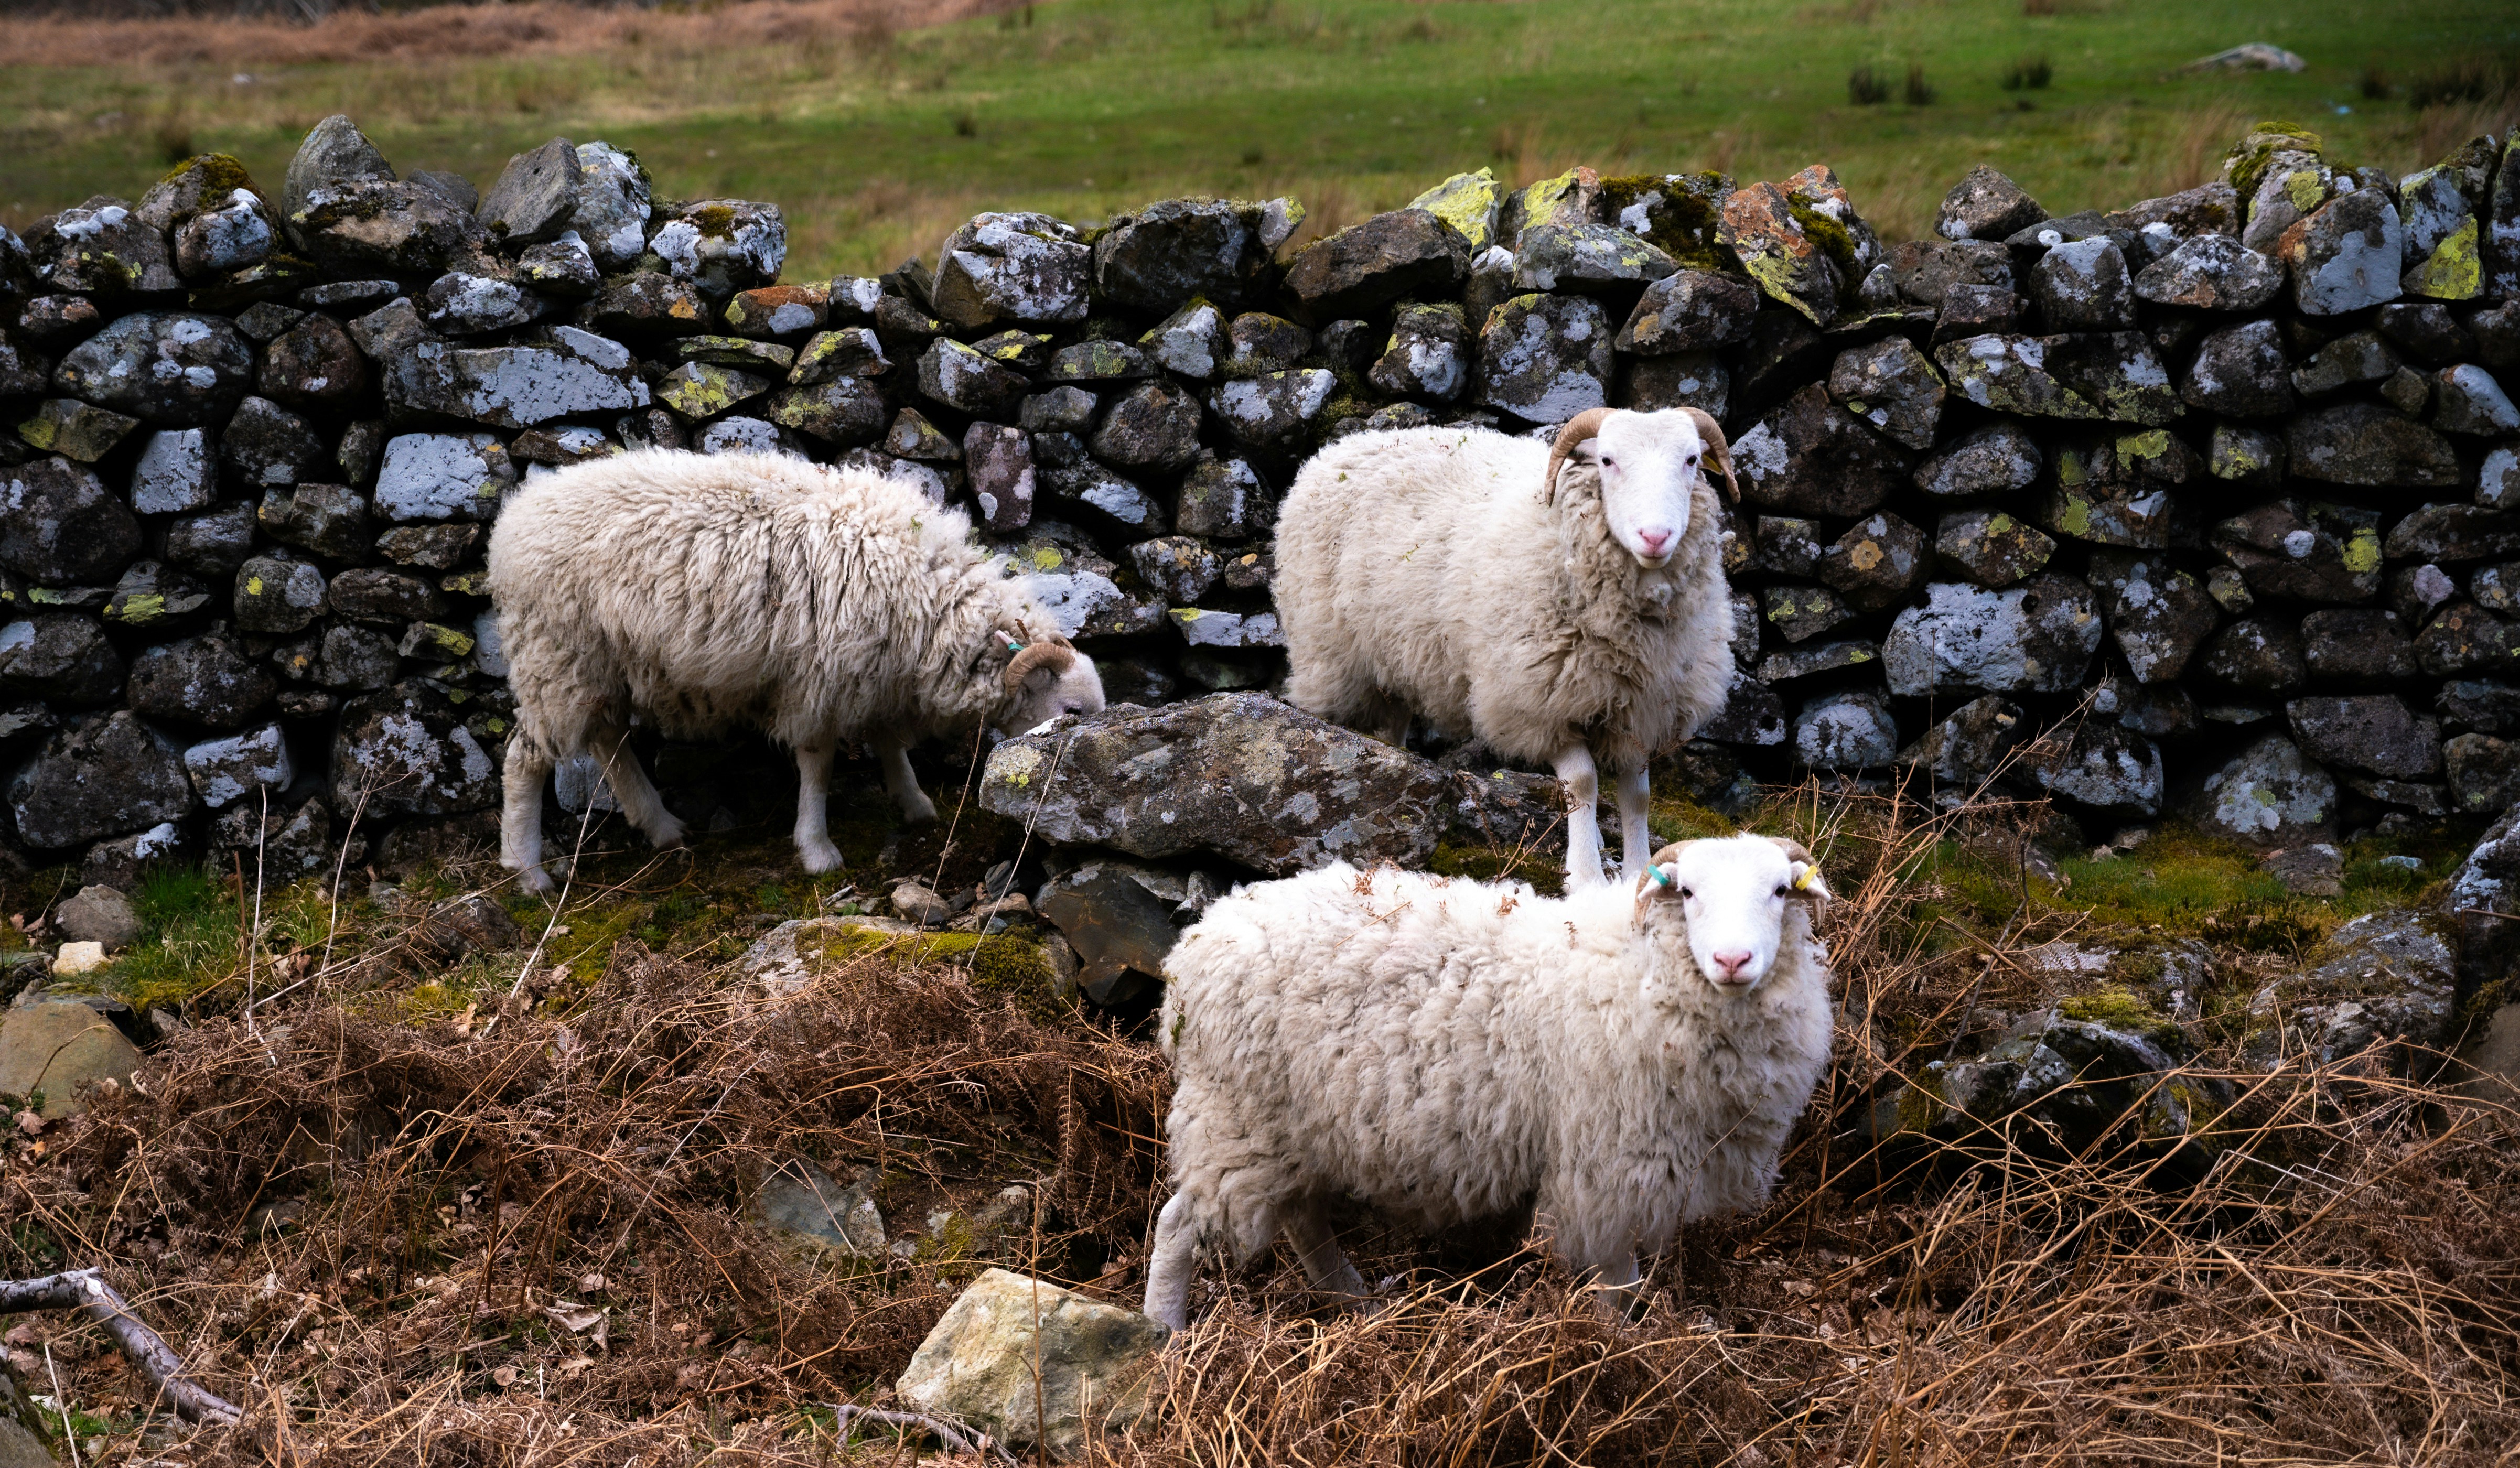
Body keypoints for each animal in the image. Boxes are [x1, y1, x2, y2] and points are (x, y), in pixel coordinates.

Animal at [484, 449, 1105, 894]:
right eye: (1071, 711)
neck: (929, 598)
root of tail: (513, 519)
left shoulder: (878, 671)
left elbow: (888, 740)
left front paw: (913, 803)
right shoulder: (821, 680)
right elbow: (820, 764)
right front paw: (818, 849)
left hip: (598, 666)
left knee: (609, 742)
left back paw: (660, 826)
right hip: (554, 656)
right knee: (524, 759)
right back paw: (527, 871)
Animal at [1142, 832, 1835, 1330]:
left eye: (1780, 890)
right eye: (1687, 891)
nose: (1732, 959)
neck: (1643, 967)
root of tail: (1196, 942)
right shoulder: (1607, 1166)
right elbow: (1618, 1278)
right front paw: (1622, 1348)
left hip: (1292, 1126)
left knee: (1303, 1220)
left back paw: (1357, 1303)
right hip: (1236, 1114)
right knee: (1178, 1226)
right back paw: (1165, 1333)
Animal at [1273, 407, 1739, 889]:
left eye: (1691, 460)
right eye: (1607, 461)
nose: (1655, 536)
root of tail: (1336, 448)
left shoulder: (1643, 707)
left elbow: (1638, 796)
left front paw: (1638, 873)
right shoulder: (1538, 700)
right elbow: (1582, 783)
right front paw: (1585, 877)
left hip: (1395, 659)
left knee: (1395, 725)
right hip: (1326, 654)